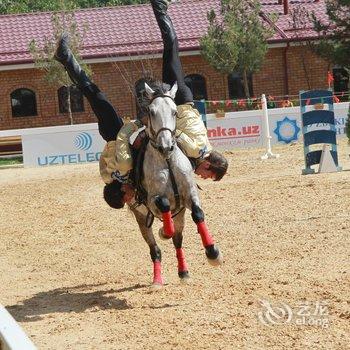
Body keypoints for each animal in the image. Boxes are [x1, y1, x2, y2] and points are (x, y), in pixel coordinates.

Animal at [130, 82, 223, 288]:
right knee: (155, 249)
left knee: (178, 241)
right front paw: (163, 231)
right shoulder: (152, 200)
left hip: (179, 215)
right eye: (151, 111)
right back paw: (157, 279)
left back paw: (183, 271)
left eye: (174, 112)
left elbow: (198, 214)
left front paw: (213, 253)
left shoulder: (189, 194)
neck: (167, 160)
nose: (166, 146)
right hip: (141, 217)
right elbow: (164, 205)